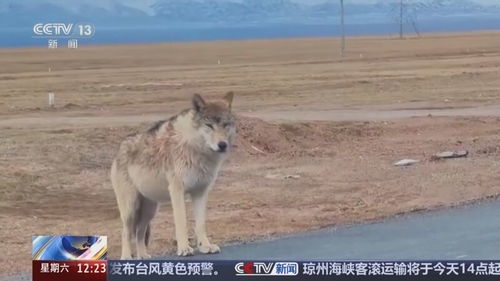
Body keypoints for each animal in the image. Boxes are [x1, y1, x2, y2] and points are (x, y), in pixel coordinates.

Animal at [110, 92, 235, 258]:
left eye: (225, 125)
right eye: (209, 126)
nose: (222, 145)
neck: (195, 148)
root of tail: (119, 150)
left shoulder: (200, 192)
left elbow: (200, 223)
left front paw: (205, 246)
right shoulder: (177, 190)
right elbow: (181, 222)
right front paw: (184, 249)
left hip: (150, 211)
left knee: (139, 232)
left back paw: (143, 256)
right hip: (131, 208)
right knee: (126, 232)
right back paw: (126, 257)